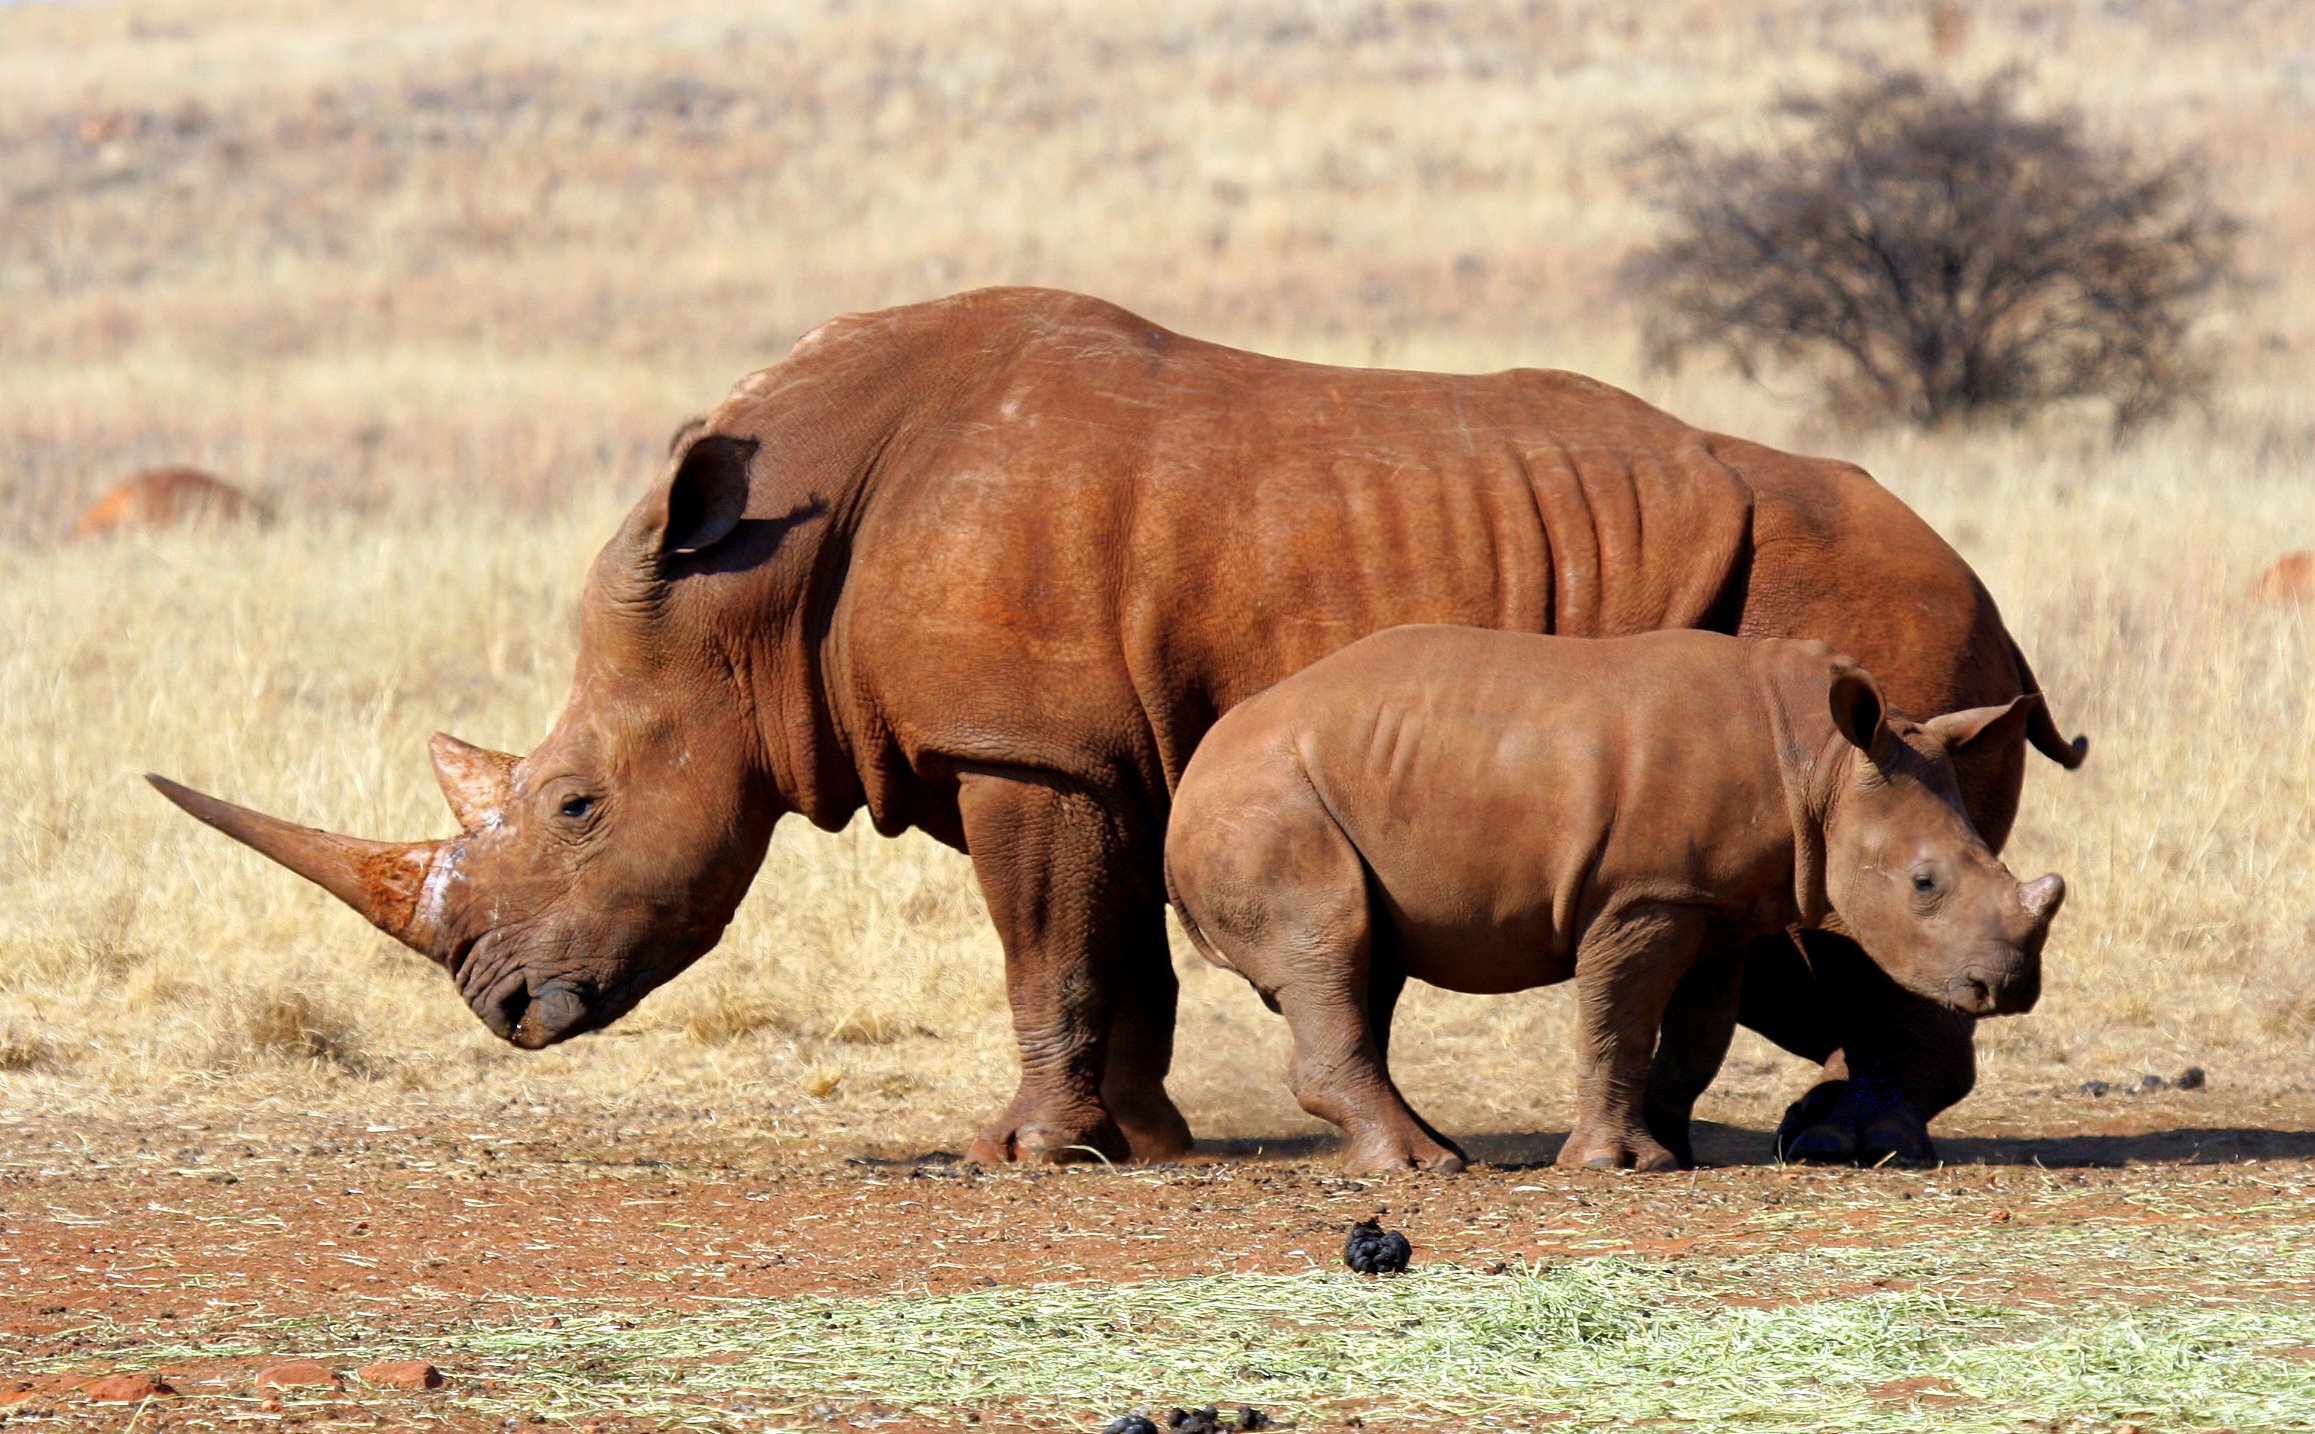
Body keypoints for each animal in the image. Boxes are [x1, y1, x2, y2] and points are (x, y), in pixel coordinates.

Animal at [1165, 626, 2067, 1172]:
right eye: (1924, 884)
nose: (2008, 989)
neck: (1820, 765)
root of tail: (1194, 774)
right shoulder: (1642, 897)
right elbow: (1620, 1019)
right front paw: (1618, 1164)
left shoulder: (1717, 900)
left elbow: (1699, 1034)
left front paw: (1670, 1147)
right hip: (1265, 799)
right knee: (1329, 946)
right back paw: (1419, 1165)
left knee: (1362, 968)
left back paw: (1423, 1152)